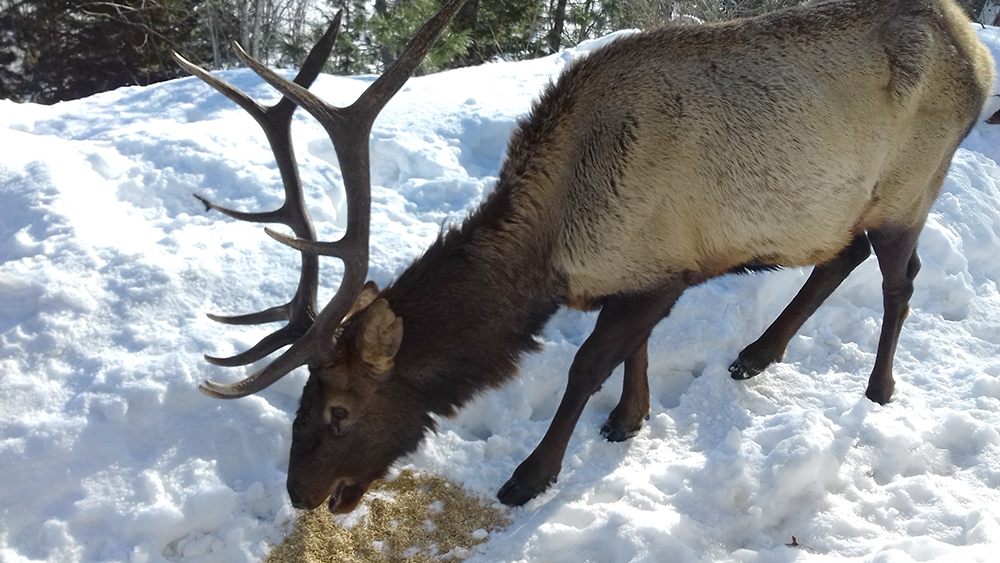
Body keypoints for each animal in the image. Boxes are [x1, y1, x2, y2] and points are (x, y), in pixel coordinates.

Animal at [176, 0, 996, 512]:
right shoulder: (643, 273)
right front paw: (630, 418)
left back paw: (879, 387)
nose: (300, 493)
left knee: (900, 279)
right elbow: (634, 350)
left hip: (914, 184)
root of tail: (976, 46)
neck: (557, 249)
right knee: (840, 256)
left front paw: (530, 476)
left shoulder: (664, 269)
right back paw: (757, 353)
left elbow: (586, 366)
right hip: (853, 202)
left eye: (339, 410)